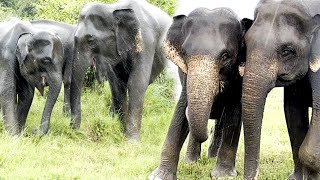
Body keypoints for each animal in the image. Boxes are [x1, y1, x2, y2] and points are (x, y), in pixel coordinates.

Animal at [70, 0, 172, 141]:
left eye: (91, 40)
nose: (76, 132)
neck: (113, 9)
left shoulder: (145, 41)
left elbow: (136, 83)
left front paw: (131, 141)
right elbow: (117, 84)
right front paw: (121, 132)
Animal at [149, 7, 251, 180]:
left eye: (226, 56)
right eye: (184, 53)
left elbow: (234, 113)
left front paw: (223, 176)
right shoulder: (186, 76)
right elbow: (180, 112)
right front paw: (159, 176)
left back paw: (211, 157)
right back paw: (191, 162)